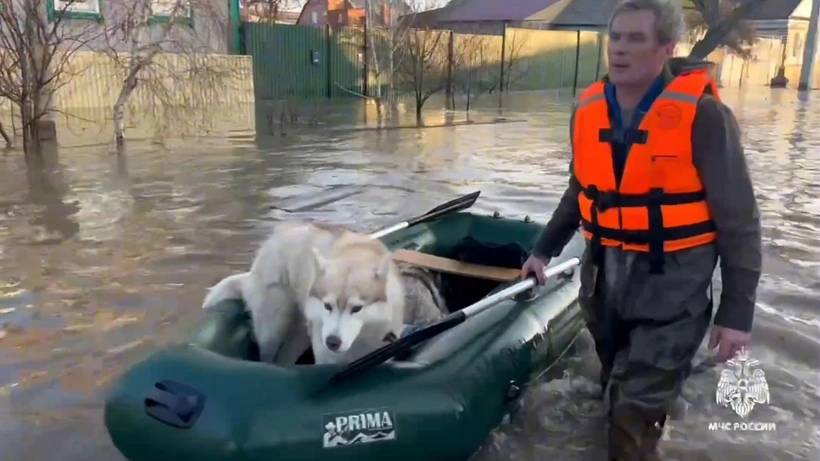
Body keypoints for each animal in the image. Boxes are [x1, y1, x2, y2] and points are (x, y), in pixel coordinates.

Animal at [203, 221, 414, 364]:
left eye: (357, 308)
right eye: (327, 306)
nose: (332, 342)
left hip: (298, 333)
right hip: (274, 326)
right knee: (268, 355)